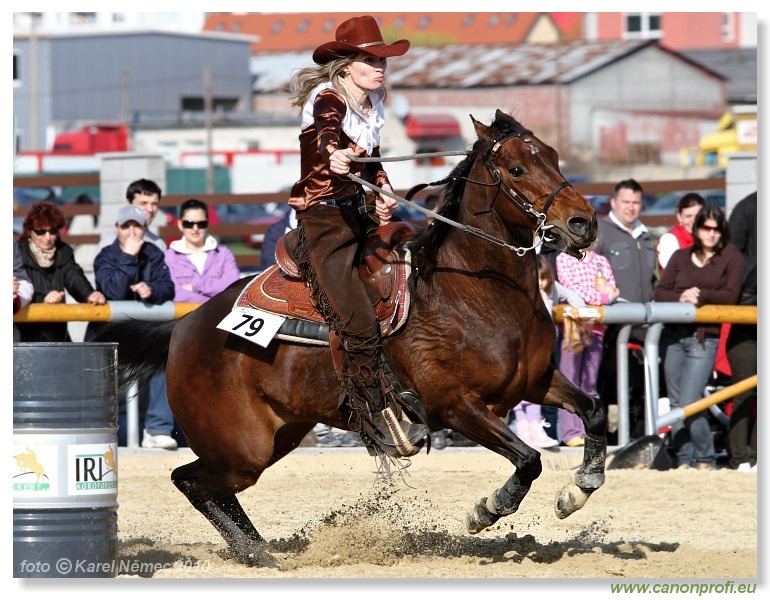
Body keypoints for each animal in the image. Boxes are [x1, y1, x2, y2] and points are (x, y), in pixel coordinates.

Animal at [96, 111, 604, 568]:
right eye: (516, 168)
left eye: (554, 157)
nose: (583, 223)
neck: (471, 292)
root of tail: (183, 328)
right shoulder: (455, 405)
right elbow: (529, 459)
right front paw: (487, 509)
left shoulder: (535, 382)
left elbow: (594, 411)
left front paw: (579, 489)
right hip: (241, 448)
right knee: (190, 480)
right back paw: (256, 553)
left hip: (277, 436)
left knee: (207, 487)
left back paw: (260, 550)